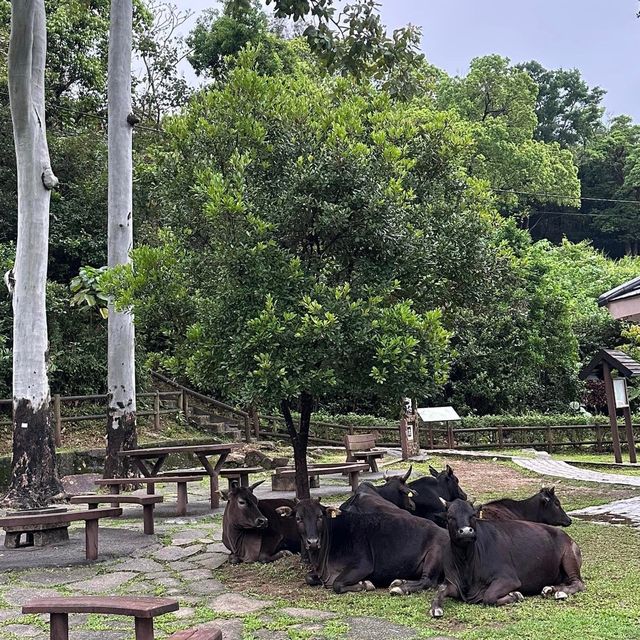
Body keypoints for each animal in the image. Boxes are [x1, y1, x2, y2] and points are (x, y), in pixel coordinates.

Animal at [278, 496, 448, 596]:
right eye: (298, 518)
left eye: (320, 516)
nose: (312, 542)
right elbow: (308, 577)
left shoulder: (363, 565)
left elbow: (337, 584)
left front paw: (365, 584)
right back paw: (400, 581)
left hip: (434, 554)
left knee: (428, 581)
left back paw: (400, 588)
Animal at [430, 498, 584, 616]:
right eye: (450, 516)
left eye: (472, 515)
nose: (466, 532)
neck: (466, 563)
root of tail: (566, 536)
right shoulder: (452, 582)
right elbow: (440, 590)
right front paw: (435, 608)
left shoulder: (509, 579)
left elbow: (488, 596)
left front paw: (514, 595)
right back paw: (550, 589)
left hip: (569, 557)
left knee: (578, 583)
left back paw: (560, 593)